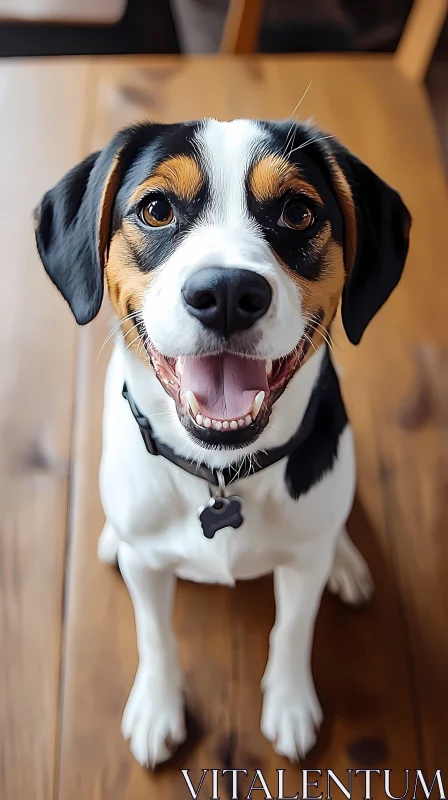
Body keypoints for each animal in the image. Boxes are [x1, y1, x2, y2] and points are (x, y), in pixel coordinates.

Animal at [34, 115, 410, 764]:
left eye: (298, 212)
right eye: (156, 209)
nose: (228, 293)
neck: (220, 473)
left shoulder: (301, 568)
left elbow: (293, 628)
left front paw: (290, 702)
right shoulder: (147, 568)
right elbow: (155, 634)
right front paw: (157, 707)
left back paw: (346, 560)